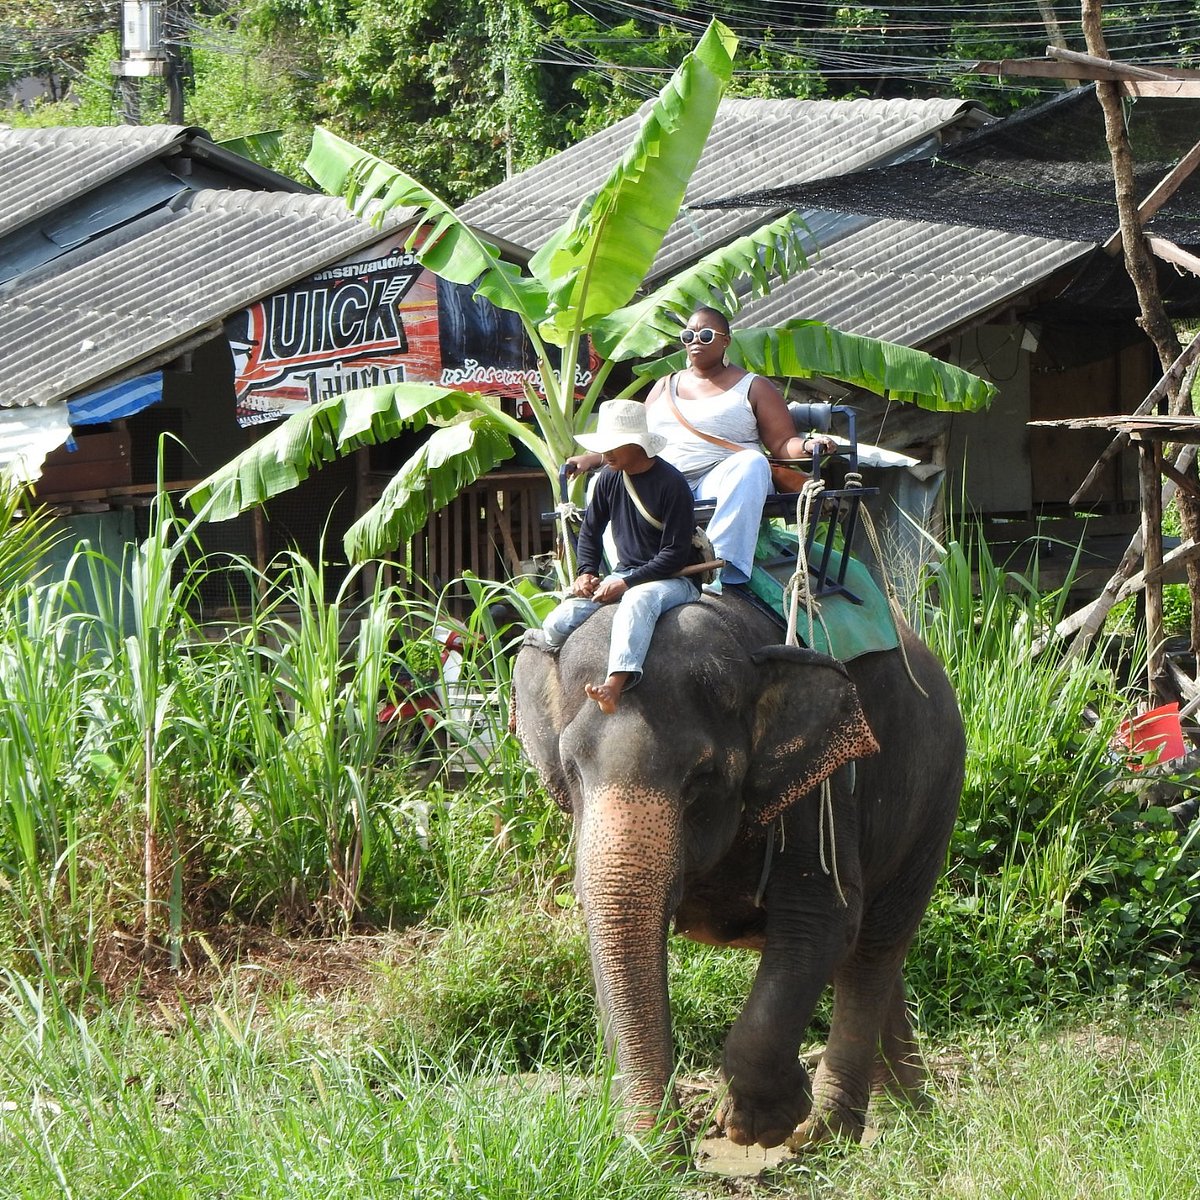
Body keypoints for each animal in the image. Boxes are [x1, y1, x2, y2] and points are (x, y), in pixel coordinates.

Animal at [513, 590, 964, 1152]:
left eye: (702, 777)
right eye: (571, 770)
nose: (666, 1157)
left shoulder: (820, 790)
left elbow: (822, 921)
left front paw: (761, 1124)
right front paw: (644, 1147)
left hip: (935, 798)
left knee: (873, 945)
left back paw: (826, 1134)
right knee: (871, 955)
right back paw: (902, 1118)